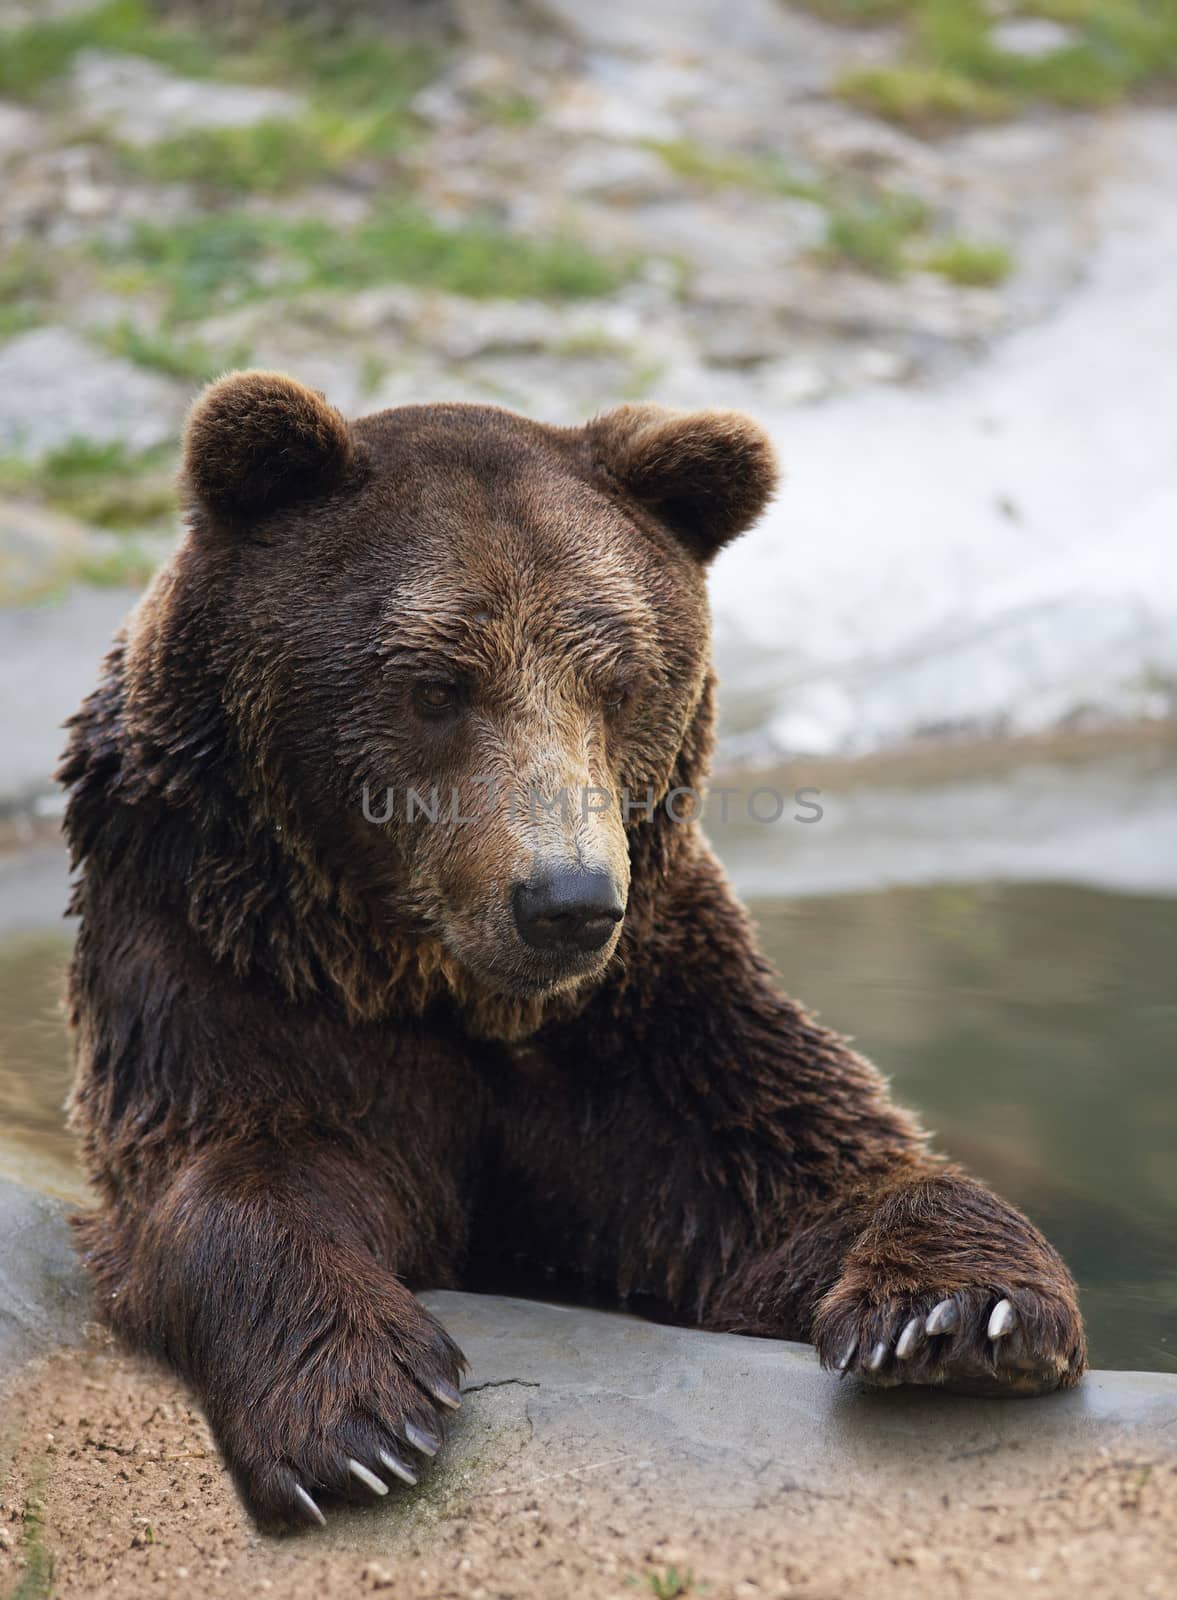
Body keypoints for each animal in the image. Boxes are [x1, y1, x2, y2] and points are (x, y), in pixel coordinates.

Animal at [57, 368, 1087, 1529]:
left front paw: (962, 1313)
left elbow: (805, 1179)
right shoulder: (231, 980)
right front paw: (357, 1415)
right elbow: (235, 1172)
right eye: (436, 684)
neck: (441, 985)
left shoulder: (654, 1034)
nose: (566, 901)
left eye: (621, 681)